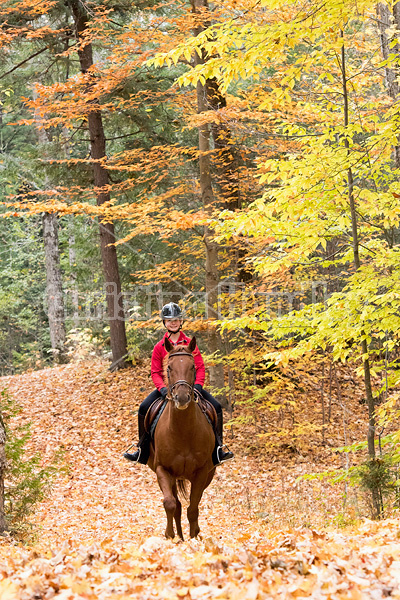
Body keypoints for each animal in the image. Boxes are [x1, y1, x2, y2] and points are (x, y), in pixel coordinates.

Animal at [148, 338, 216, 540]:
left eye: (192, 366)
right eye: (169, 367)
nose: (183, 397)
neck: (182, 432)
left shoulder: (202, 472)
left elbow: (193, 508)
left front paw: (194, 537)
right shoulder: (162, 469)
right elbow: (170, 504)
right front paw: (170, 536)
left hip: (208, 474)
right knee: (176, 504)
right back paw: (178, 535)